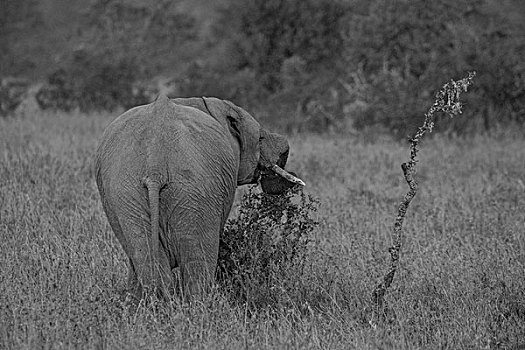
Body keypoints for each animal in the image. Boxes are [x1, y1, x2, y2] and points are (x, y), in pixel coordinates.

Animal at [94, 94, 302, 300]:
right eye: (260, 138)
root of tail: (155, 165)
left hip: (126, 192)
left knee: (146, 257)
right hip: (195, 188)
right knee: (198, 260)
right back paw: (200, 305)